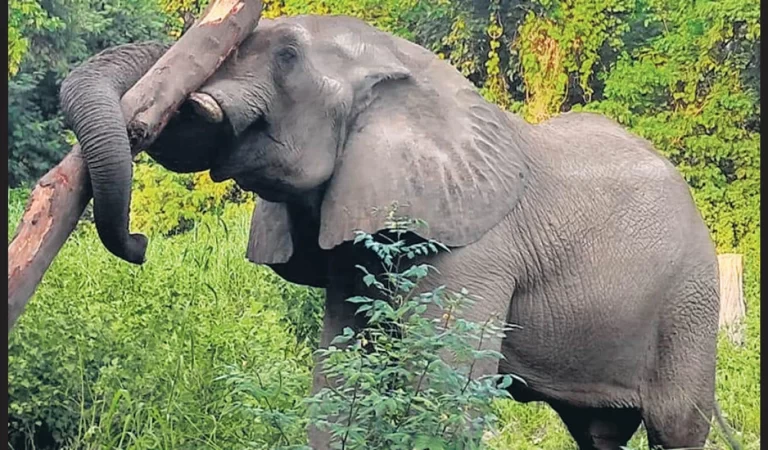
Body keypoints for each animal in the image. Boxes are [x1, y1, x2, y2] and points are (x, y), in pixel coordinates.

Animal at [59, 14, 731, 450]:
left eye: (287, 57)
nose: (140, 245)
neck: (405, 67)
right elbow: (339, 378)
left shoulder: (473, 252)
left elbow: (443, 388)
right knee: (596, 433)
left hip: (692, 301)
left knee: (676, 426)